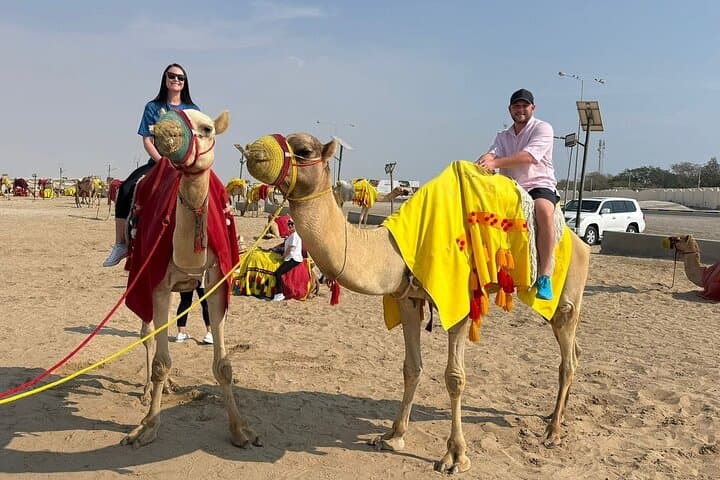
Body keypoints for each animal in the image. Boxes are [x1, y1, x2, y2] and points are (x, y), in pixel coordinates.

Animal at [121, 109, 259, 449]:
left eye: (207, 128)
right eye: (158, 121)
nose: (165, 131)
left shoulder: (216, 283)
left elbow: (223, 365)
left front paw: (241, 431)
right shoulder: (156, 283)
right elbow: (160, 362)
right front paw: (147, 428)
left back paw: (168, 386)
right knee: (147, 334)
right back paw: (147, 392)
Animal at [245, 133, 590, 474]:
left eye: (303, 150)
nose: (254, 152)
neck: (395, 249)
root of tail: (580, 242)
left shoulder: (459, 301)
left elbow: (455, 378)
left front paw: (455, 456)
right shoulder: (408, 298)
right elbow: (411, 367)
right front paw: (393, 435)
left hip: (567, 294)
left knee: (567, 356)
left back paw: (553, 432)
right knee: (574, 351)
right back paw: (554, 416)